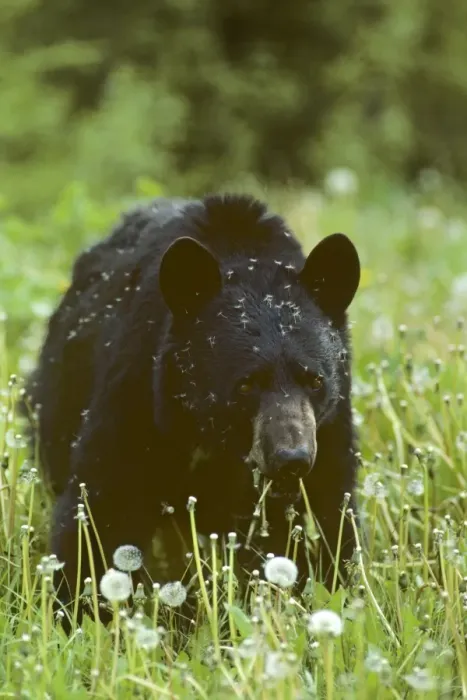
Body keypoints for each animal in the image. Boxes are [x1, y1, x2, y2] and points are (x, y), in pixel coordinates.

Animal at [24, 193, 361, 623]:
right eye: (246, 384)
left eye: (316, 380)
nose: (292, 459)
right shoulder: (138, 386)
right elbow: (101, 500)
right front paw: (77, 614)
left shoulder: (331, 424)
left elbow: (332, 511)